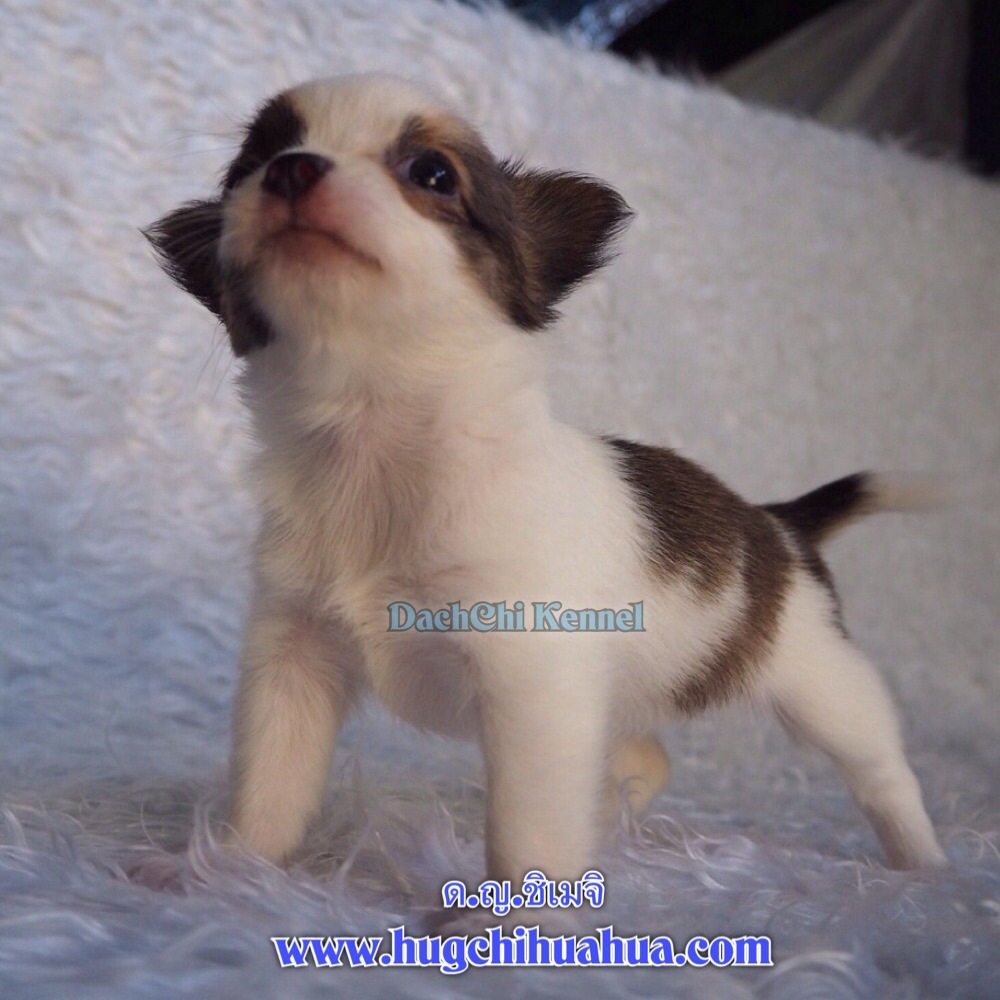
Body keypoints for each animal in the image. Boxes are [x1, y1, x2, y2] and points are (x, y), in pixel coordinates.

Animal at [146, 73, 946, 891]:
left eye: (432, 175)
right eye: (255, 162)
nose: (292, 170)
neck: (375, 446)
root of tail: (779, 522)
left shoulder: (532, 684)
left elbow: (526, 824)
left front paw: (519, 909)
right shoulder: (294, 658)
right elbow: (271, 783)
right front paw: (227, 869)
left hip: (820, 683)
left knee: (881, 769)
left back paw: (926, 864)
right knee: (644, 756)